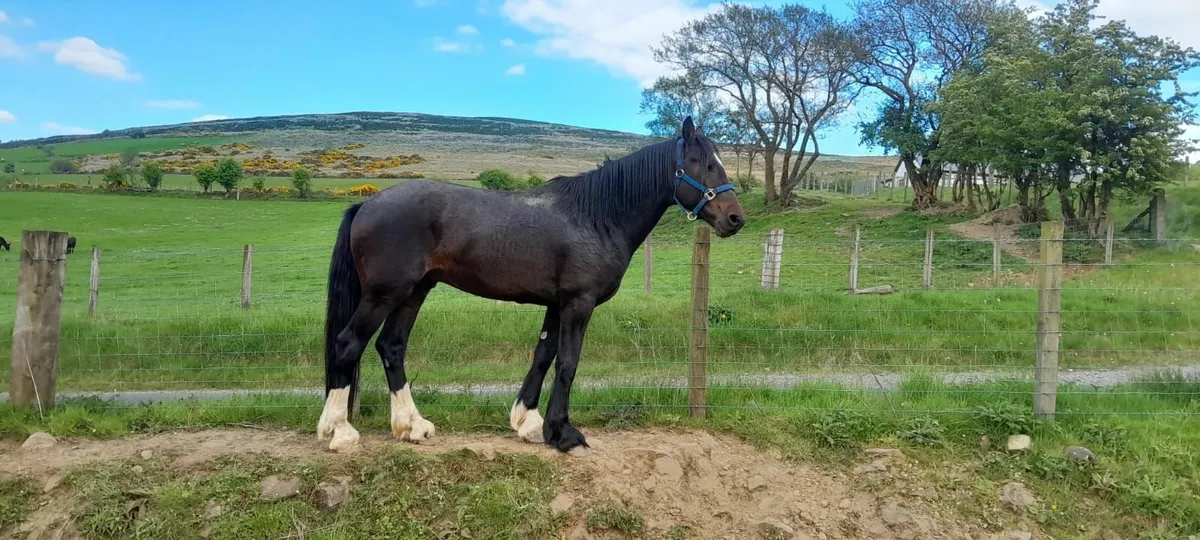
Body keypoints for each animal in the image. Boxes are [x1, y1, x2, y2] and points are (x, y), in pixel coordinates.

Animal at [317, 116, 745, 455]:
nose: (735, 218)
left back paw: (412, 426)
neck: (596, 216)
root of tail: (367, 204)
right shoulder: (578, 303)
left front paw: (530, 423)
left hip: (414, 292)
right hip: (384, 294)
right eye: (703, 163)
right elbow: (568, 363)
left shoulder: (556, 304)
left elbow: (542, 357)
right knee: (348, 343)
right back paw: (340, 431)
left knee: (391, 347)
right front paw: (565, 434)